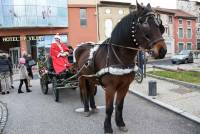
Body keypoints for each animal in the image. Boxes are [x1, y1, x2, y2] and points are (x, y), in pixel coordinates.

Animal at [74, 2, 166, 134]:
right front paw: (108, 127)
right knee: (84, 92)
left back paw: (93, 107)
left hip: (91, 78)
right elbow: (109, 108)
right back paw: (86, 109)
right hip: (82, 77)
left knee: (91, 91)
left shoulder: (124, 86)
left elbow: (119, 106)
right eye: (144, 23)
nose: (162, 50)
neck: (118, 57)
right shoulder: (110, 88)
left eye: (159, 25)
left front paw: (120, 123)